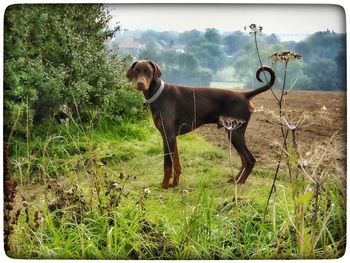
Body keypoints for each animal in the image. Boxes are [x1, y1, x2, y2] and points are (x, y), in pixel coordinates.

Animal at [127, 60, 274, 189]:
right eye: (136, 70)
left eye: (148, 71)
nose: (140, 84)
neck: (159, 94)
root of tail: (245, 95)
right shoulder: (172, 137)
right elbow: (176, 164)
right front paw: (174, 185)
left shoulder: (168, 136)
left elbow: (167, 165)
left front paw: (164, 186)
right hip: (233, 132)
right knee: (244, 160)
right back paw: (235, 180)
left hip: (235, 132)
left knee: (250, 160)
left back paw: (239, 182)